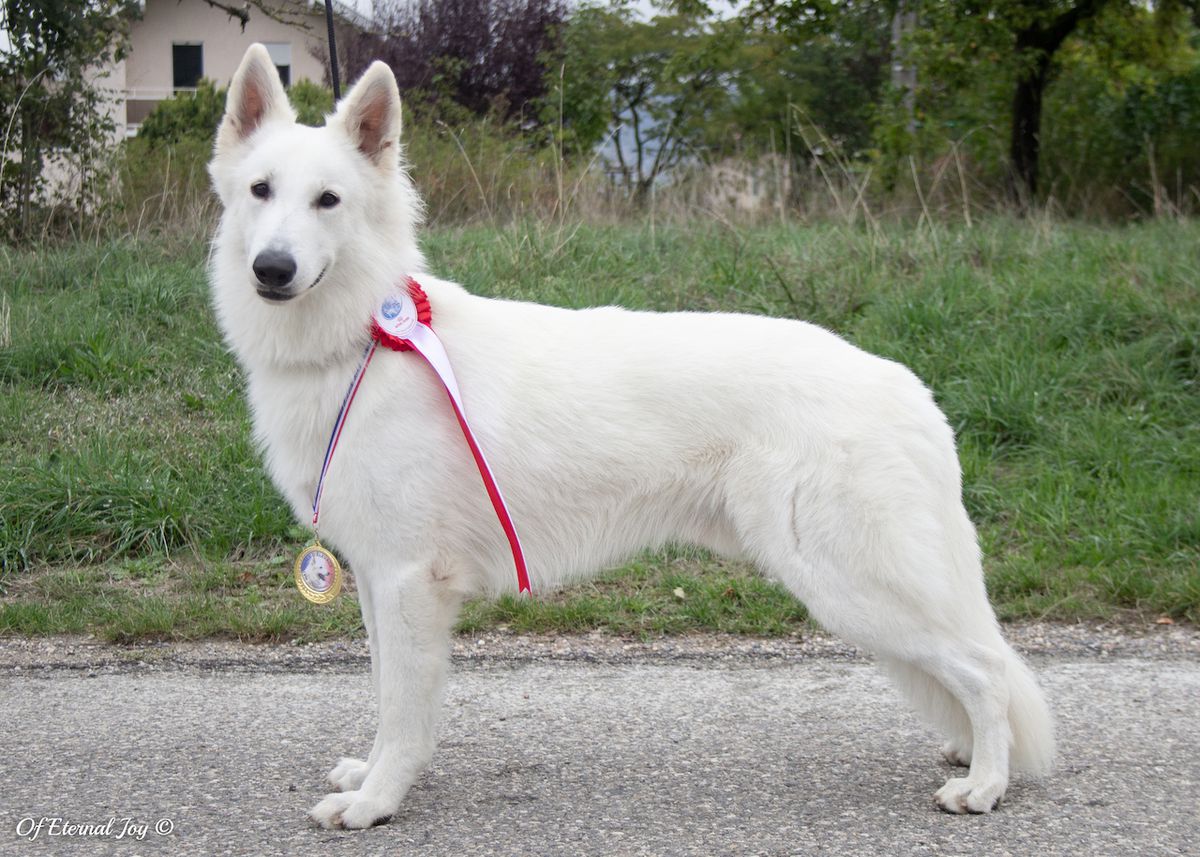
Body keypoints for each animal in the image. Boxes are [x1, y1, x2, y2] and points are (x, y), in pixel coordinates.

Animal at [211, 45, 1056, 825]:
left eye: (328, 200)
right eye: (261, 191)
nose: (272, 269)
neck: (361, 341)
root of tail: (906, 386)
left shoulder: (410, 581)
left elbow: (403, 708)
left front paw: (378, 800)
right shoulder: (378, 578)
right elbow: (387, 691)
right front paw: (370, 777)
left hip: (849, 584)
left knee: (984, 667)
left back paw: (984, 782)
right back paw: (968, 754)